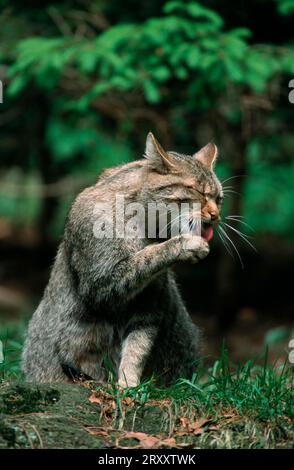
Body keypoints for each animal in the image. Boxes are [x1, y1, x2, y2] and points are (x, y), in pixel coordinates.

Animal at [21, 132, 223, 386]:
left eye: (219, 198)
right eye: (200, 193)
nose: (216, 215)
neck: (144, 227)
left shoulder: (148, 305)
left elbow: (137, 348)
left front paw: (129, 383)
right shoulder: (99, 286)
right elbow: (147, 256)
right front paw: (185, 244)